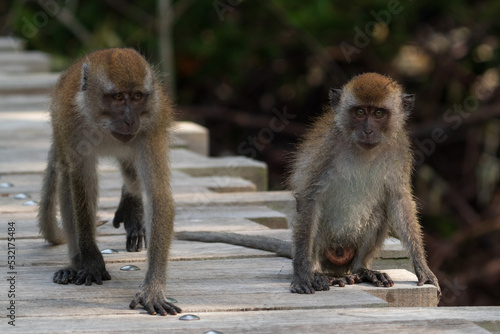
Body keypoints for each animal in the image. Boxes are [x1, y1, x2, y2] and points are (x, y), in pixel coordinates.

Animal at [37, 47, 182, 316]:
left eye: (136, 96)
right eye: (117, 97)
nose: (130, 119)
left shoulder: (152, 124)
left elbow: (157, 193)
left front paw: (153, 287)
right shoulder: (72, 125)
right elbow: (81, 181)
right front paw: (91, 260)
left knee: (131, 172)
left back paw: (132, 205)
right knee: (66, 179)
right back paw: (75, 263)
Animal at [176, 73, 442, 298]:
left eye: (378, 113)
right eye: (359, 112)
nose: (368, 130)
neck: (362, 149)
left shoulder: (400, 149)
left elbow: (398, 201)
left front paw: (422, 267)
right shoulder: (326, 147)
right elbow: (310, 197)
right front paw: (303, 275)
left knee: (379, 212)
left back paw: (362, 270)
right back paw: (317, 273)